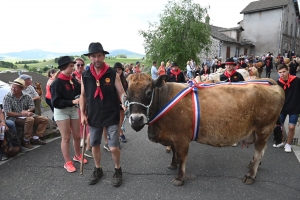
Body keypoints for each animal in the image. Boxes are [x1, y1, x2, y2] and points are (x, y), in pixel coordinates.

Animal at [125, 73, 284, 186]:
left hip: (264, 129)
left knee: (258, 152)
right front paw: (173, 164)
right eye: (127, 93)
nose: (136, 119)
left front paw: (180, 177)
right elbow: (174, 152)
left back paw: (250, 175)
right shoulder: (173, 136)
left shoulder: (182, 138)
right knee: (261, 151)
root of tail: (273, 84)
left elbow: (182, 157)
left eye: (148, 92)